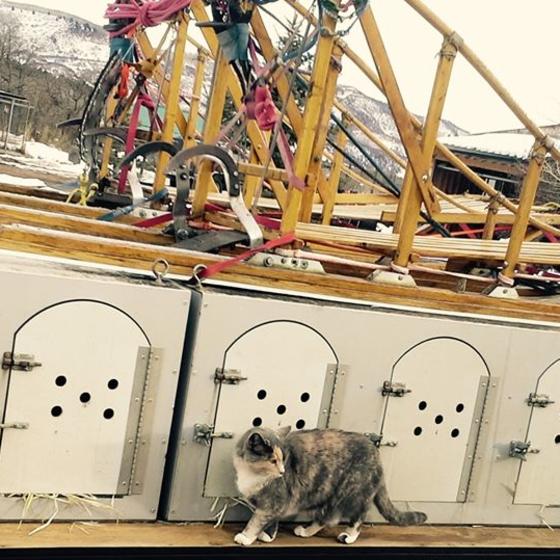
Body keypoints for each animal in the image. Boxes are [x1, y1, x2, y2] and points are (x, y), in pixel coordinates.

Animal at [232, 426, 428, 544]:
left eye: (283, 459)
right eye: (273, 460)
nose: (282, 471)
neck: (251, 474)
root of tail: (375, 451)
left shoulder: (274, 500)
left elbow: (257, 519)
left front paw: (246, 536)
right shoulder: (274, 504)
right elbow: (271, 519)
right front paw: (268, 535)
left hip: (351, 492)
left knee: (356, 516)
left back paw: (349, 536)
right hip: (327, 495)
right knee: (326, 518)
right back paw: (306, 531)